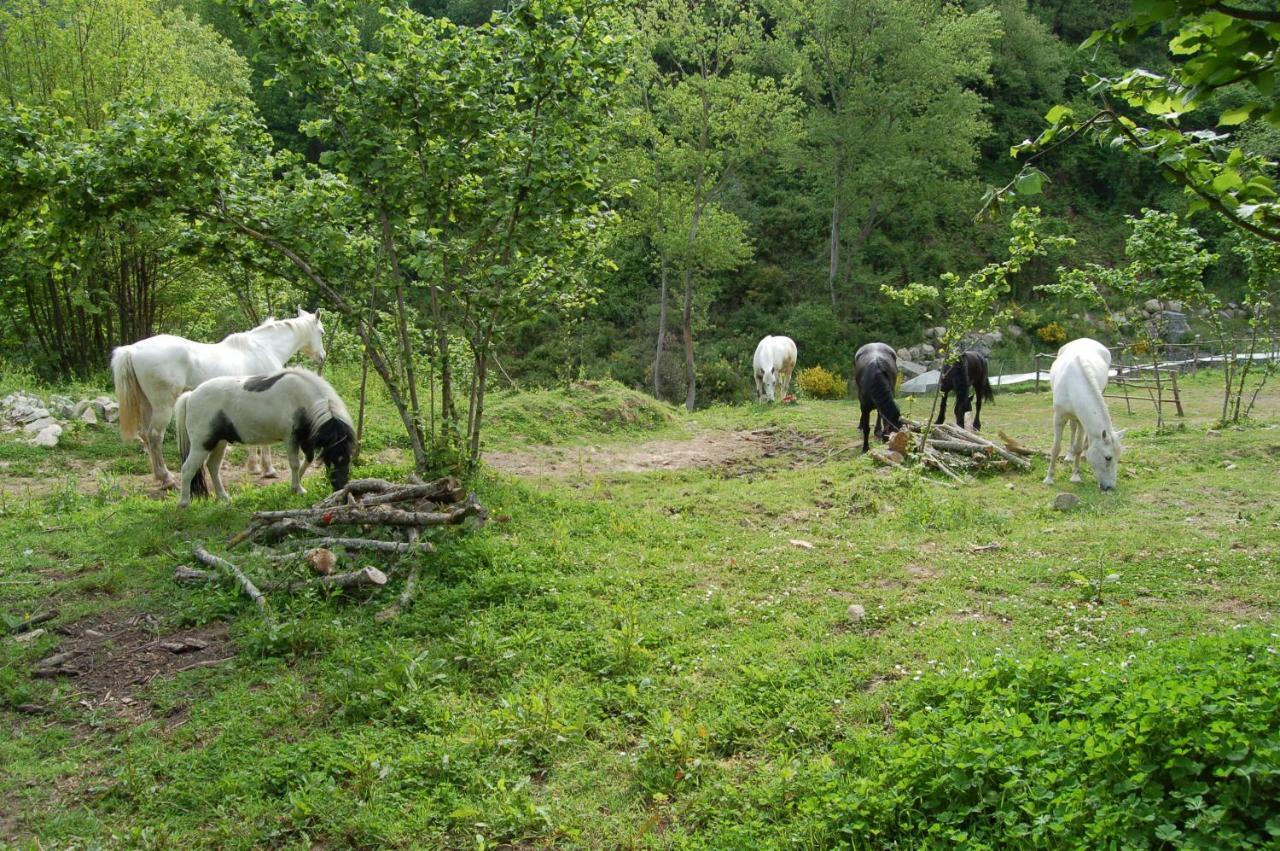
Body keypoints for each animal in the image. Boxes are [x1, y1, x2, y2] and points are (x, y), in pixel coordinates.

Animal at [110, 310, 325, 483]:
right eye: (321, 332)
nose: (322, 357)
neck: (264, 347)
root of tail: (132, 349)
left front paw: (254, 467)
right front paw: (268, 469)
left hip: (147, 405)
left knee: (145, 435)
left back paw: (158, 476)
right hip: (163, 407)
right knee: (155, 436)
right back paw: (167, 478)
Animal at [172, 365, 355, 504]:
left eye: (348, 459)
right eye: (332, 459)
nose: (340, 488)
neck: (302, 398)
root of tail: (190, 396)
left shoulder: (306, 439)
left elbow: (307, 460)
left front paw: (296, 486)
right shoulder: (291, 439)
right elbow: (294, 464)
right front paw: (297, 489)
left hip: (219, 443)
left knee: (213, 467)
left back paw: (224, 497)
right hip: (202, 445)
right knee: (187, 468)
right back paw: (184, 503)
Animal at [1044, 335, 1126, 488]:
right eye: (1108, 458)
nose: (1110, 487)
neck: (1073, 384)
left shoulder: (1082, 420)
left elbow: (1078, 447)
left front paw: (1076, 476)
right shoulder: (1058, 417)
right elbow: (1055, 447)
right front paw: (1049, 478)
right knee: (1072, 428)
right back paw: (1069, 456)